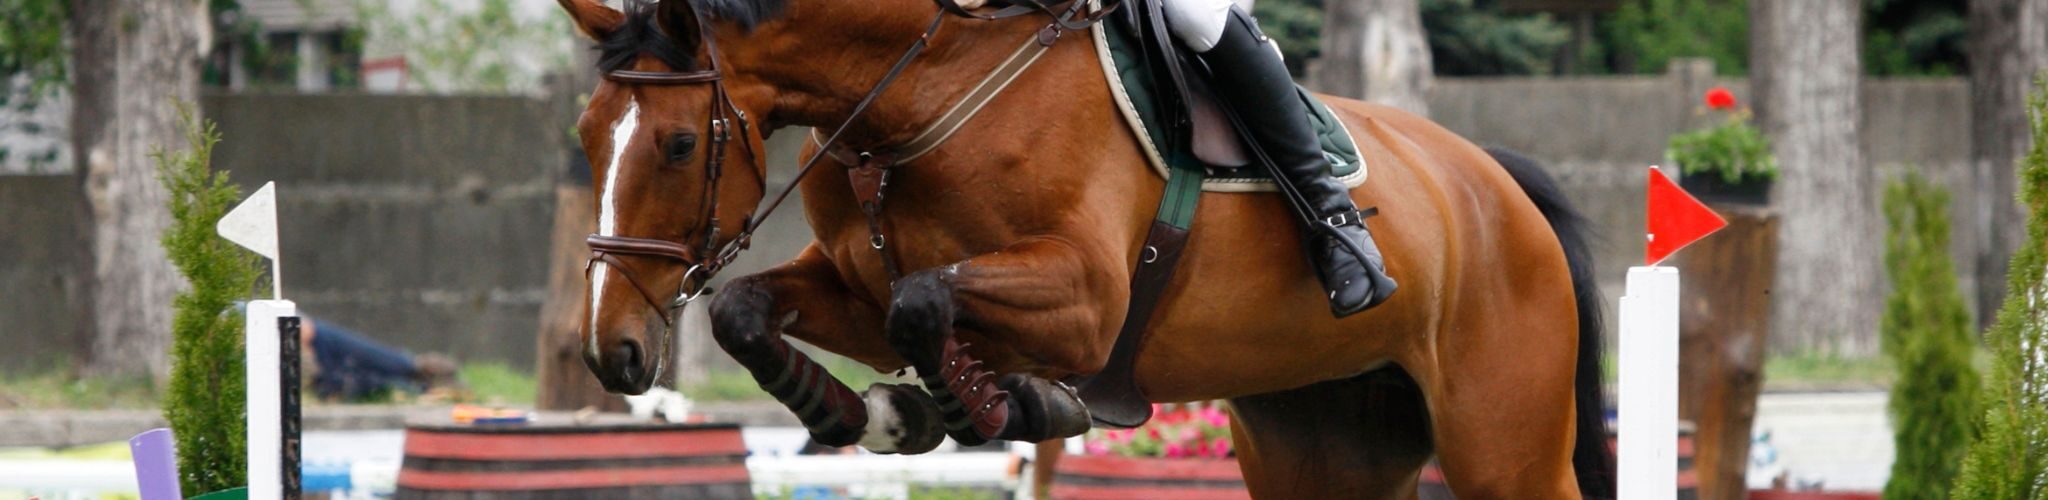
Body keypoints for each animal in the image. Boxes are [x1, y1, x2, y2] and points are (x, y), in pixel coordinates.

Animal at [561, 0, 1613, 493]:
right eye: (585, 137)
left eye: (679, 144)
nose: (615, 352)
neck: (921, 93)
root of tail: (1499, 181)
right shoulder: (855, 290)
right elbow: (754, 310)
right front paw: (869, 414)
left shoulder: (1086, 301)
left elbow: (925, 301)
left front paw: (1003, 403)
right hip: (1323, 442)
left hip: (1503, 449)